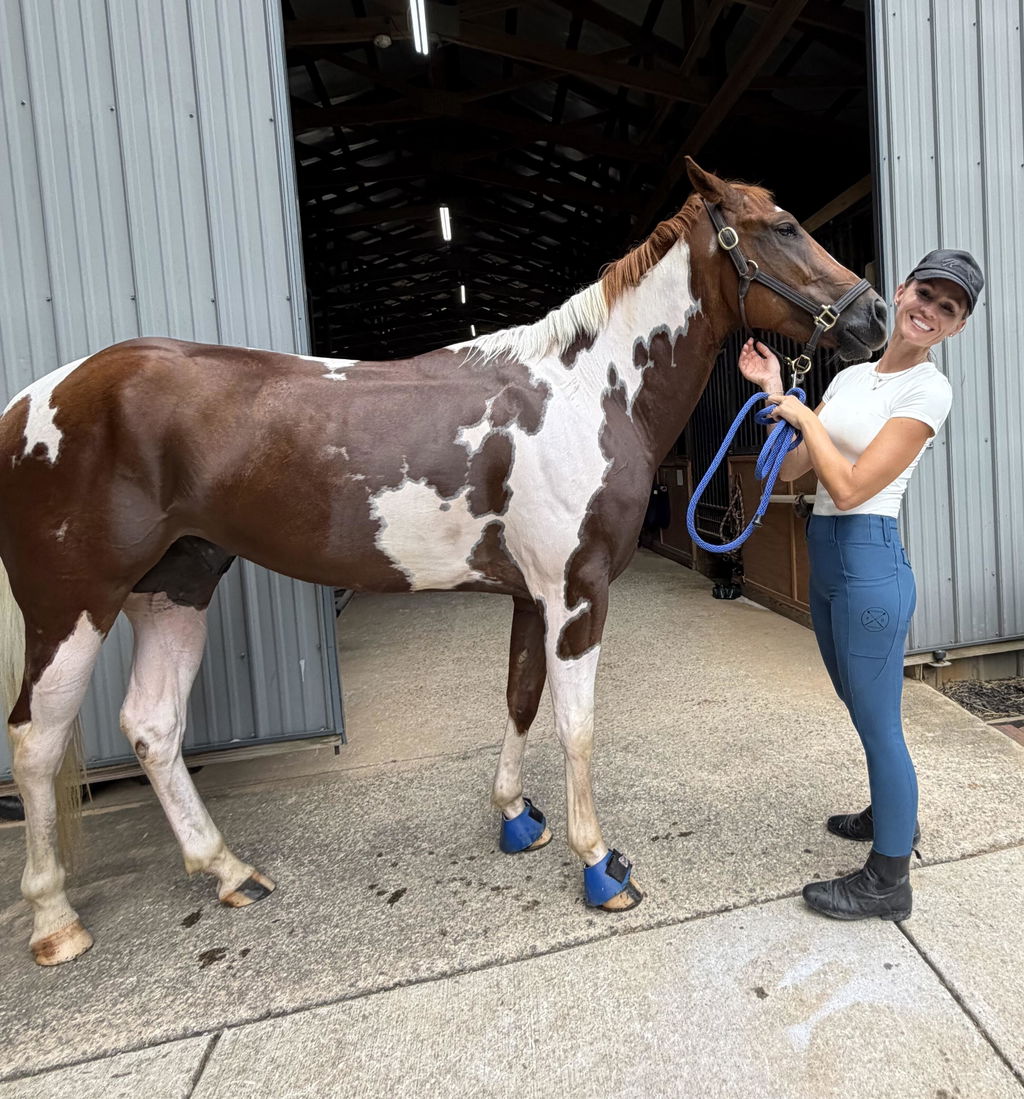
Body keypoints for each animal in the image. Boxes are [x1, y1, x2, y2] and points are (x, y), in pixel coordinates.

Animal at [0, 159, 887, 965]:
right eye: (782, 225)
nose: (874, 314)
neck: (588, 393)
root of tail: (31, 401)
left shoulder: (533, 597)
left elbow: (522, 700)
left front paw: (516, 816)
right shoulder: (576, 595)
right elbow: (576, 724)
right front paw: (600, 863)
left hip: (175, 584)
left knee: (152, 725)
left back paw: (227, 869)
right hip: (73, 603)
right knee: (37, 742)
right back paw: (55, 920)